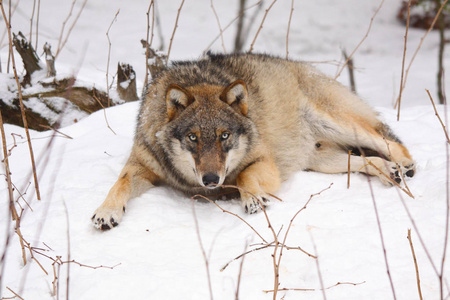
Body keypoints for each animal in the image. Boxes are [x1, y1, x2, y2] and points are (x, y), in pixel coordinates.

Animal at [90, 52, 414, 230]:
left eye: (224, 136)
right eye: (193, 138)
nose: (211, 179)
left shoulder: (264, 163)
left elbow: (245, 176)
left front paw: (254, 199)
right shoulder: (141, 166)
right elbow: (119, 183)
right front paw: (106, 212)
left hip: (341, 125)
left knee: (388, 140)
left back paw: (405, 167)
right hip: (321, 160)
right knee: (366, 160)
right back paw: (391, 173)